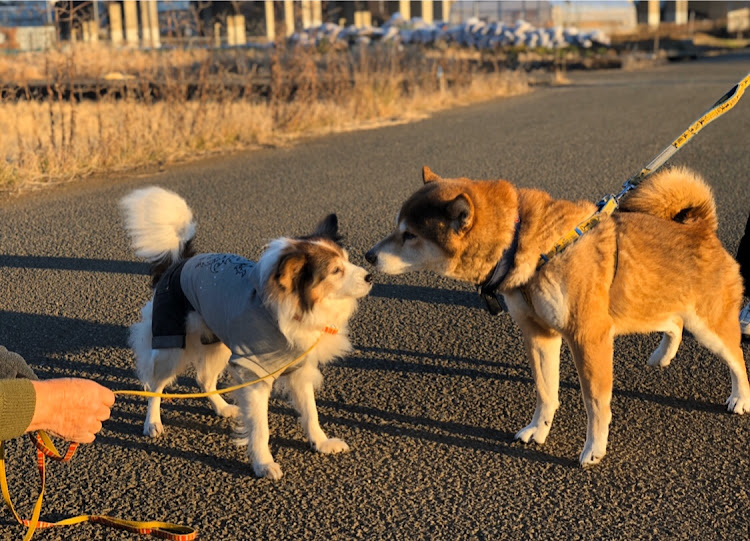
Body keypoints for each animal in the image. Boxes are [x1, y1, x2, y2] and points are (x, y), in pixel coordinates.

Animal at [119, 187, 374, 476]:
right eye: (335, 271)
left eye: (348, 262)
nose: (370, 277)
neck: (287, 309)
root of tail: (180, 262)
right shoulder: (254, 373)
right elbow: (260, 428)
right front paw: (263, 464)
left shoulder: (297, 369)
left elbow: (311, 412)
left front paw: (320, 443)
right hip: (171, 345)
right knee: (156, 386)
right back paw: (152, 422)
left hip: (218, 342)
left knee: (204, 379)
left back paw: (221, 408)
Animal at [366, 165, 750, 464]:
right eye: (396, 228)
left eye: (409, 235)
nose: (368, 256)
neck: (524, 242)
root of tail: (701, 229)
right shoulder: (539, 334)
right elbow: (546, 391)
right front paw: (538, 430)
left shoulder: (588, 337)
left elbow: (595, 402)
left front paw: (594, 449)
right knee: (673, 323)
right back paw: (662, 355)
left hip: (710, 327)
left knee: (737, 360)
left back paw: (740, 398)